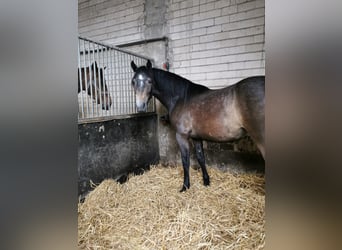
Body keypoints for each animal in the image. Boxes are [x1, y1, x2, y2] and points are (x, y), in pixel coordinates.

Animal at [130, 60, 264, 191]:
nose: (140, 107)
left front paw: (185, 186)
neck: (181, 99)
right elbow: (201, 158)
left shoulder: (182, 136)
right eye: (133, 81)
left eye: (149, 80)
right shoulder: (196, 137)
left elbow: (185, 161)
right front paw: (206, 181)